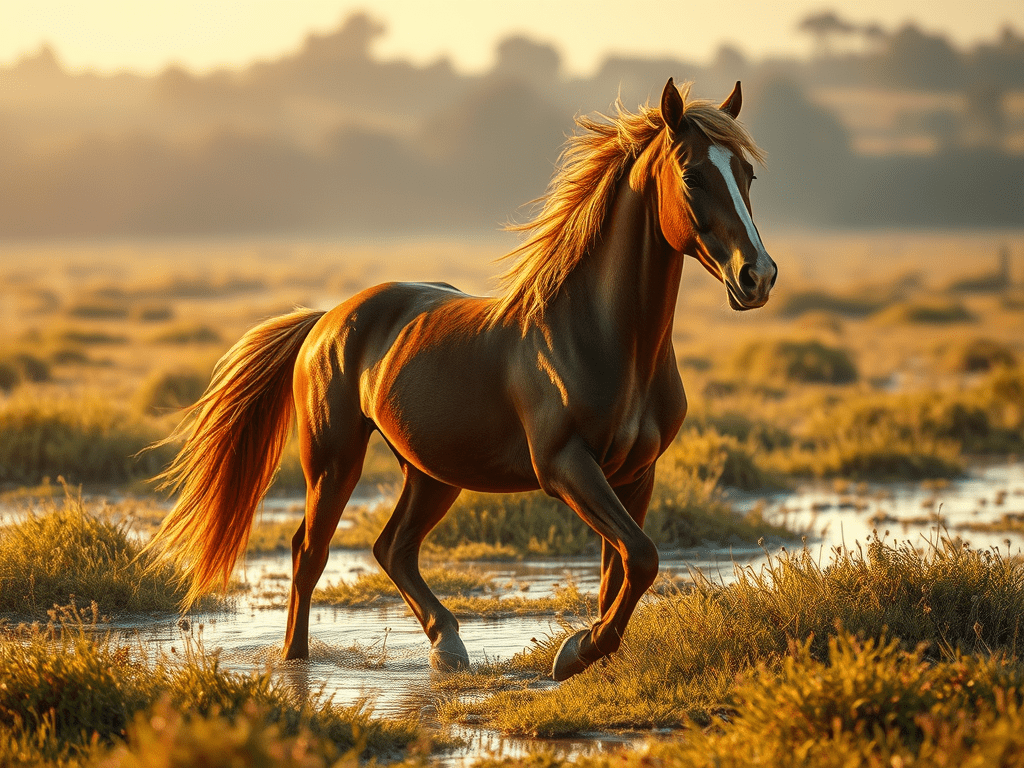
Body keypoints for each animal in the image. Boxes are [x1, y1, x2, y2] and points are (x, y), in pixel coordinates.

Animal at [148, 79, 777, 682]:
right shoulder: (566, 467)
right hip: (334, 460)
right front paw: (575, 653)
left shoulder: (636, 474)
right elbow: (641, 558)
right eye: (692, 174)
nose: (758, 276)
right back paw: (296, 661)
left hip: (431, 471)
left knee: (393, 548)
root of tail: (325, 320)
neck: (601, 339)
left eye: (747, 174)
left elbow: (621, 568)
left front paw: (595, 655)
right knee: (311, 552)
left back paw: (447, 645)